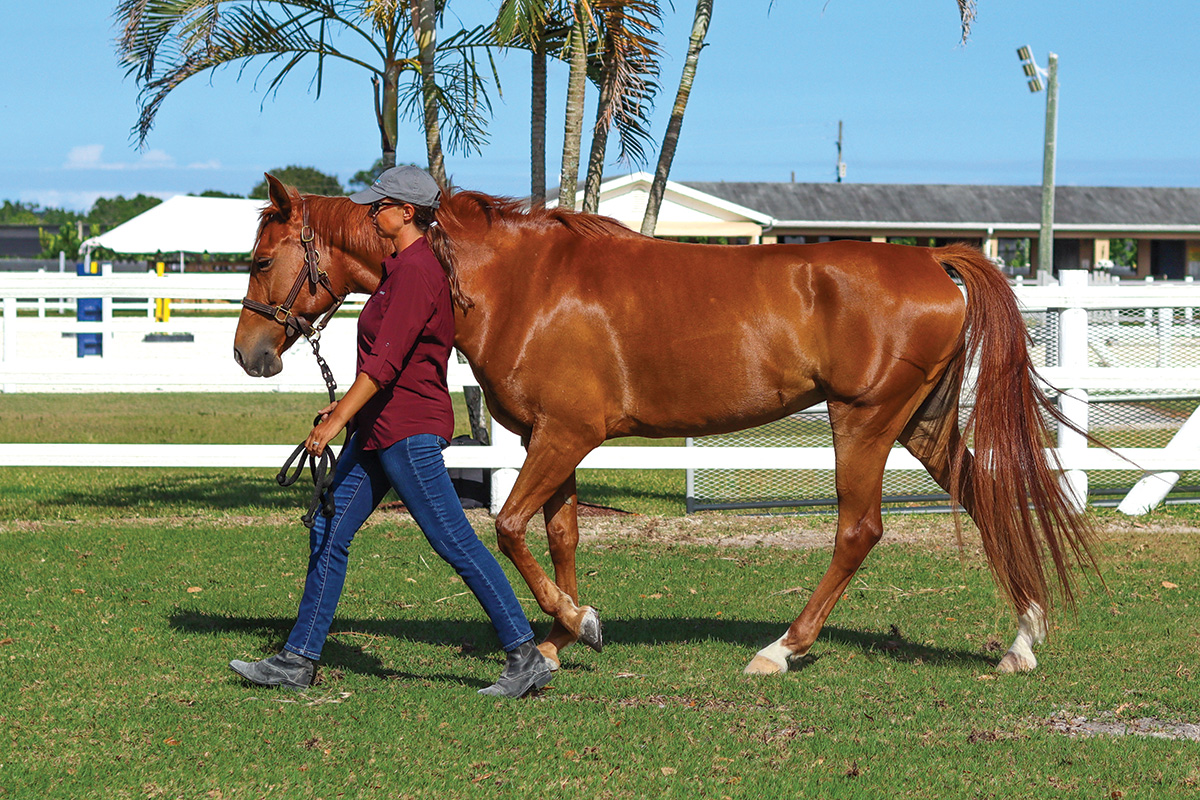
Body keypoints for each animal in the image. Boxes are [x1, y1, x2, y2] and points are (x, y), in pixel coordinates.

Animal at [234, 175, 1099, 676]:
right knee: (989, 496)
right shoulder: (556, 439)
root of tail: (933, 261)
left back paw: (781, 650)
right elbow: (559, 535)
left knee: (858, 531)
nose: (250, 353)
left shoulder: (567, 435)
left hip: (864, 422)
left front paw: (573, 622)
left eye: (261, 259)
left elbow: (509, 526)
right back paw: (1022, 640)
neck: (518, 284)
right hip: (920, 424)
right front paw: (560, 635)